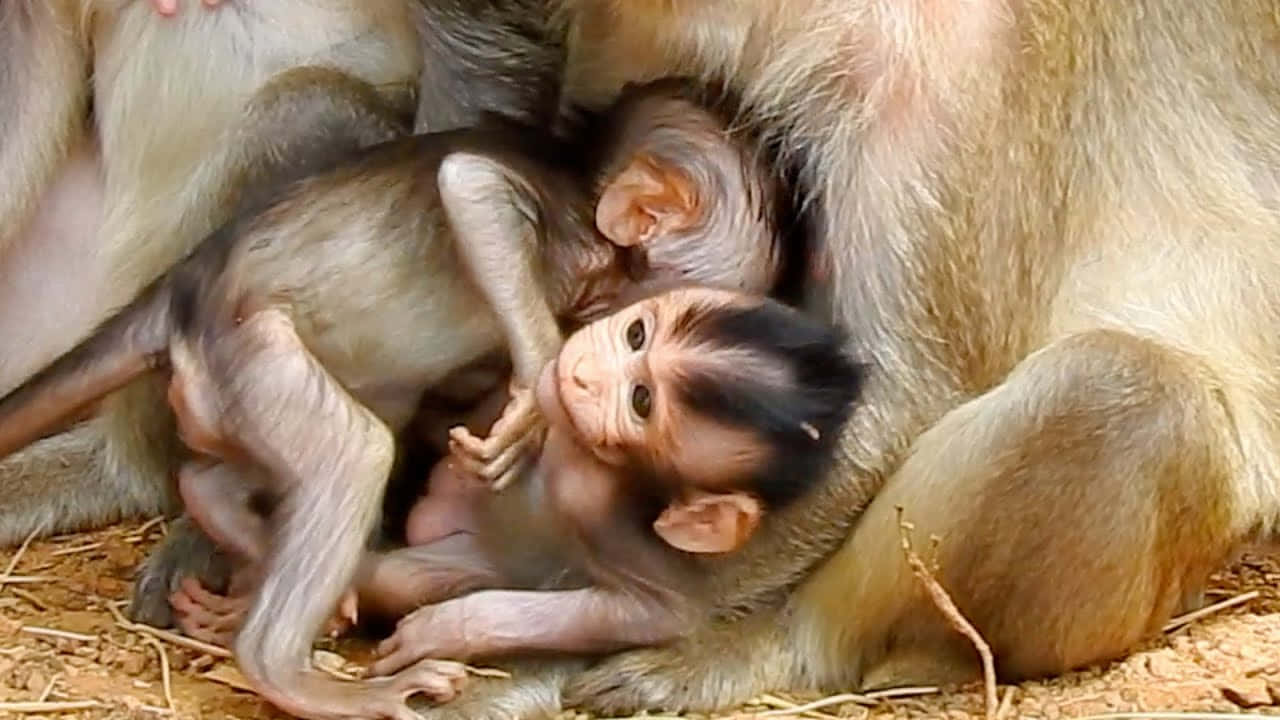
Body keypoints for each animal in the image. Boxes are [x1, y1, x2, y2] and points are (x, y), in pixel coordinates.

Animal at [0, 80, 792, 720]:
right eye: (645, 327)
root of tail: (184, 290)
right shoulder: (572, 236)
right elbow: (472, 190)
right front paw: (536, 385)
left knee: (256, 457)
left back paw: (229, 511)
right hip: (250, 348)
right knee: (351, 452)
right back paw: (292, 672)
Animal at [164, 286, 864, 665]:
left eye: (641, 401)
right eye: (637, 333)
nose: (579, 374)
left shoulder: (599, 505)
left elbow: (651, 614)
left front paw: (445, 631)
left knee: (401, 575)